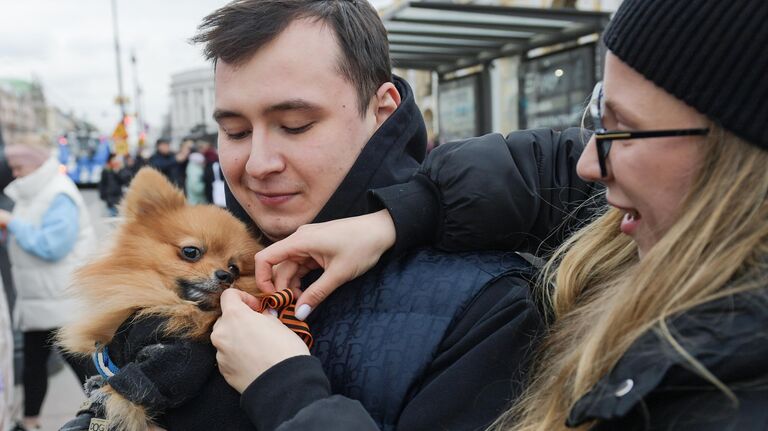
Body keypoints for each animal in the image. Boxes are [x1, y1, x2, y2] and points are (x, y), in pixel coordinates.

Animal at [57, 170, 264, 431]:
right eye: (191, 251)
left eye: (234, 269)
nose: (225, 276)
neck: (169, 304)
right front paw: (96, 382)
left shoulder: (176, 358)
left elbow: (134, 383)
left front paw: (106, 394)